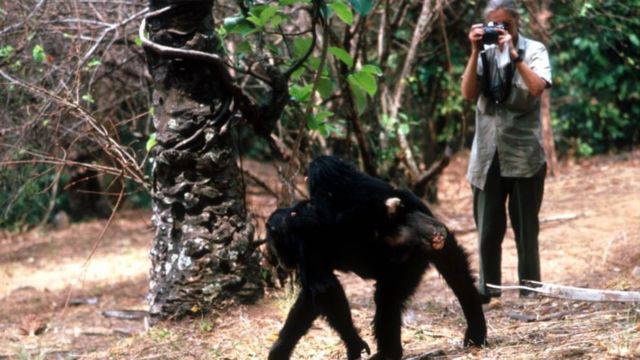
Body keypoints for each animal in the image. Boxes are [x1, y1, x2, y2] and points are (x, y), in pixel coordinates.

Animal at [268, 156, 488, 358]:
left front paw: (354, 345)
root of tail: (426, 229)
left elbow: (324, 289)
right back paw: (476, 332)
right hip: (443, 242)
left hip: (407, 261)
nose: (277, 259)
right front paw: (279, 349)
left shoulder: (306, 247)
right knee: (460, 279)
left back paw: (388, 353)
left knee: (387, 299)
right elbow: (311, 300)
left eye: (273, 243)